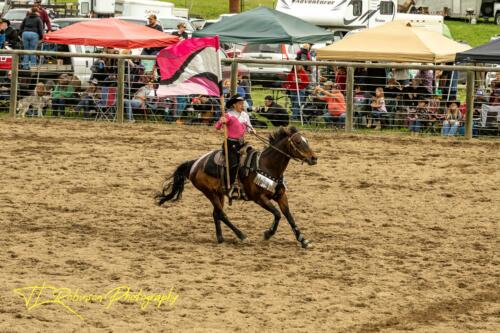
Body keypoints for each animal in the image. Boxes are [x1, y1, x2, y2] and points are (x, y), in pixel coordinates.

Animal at [154, 126, 318, 248]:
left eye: (306, 140)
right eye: (298, 141)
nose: (314, 158)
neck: (267, 165)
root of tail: (194, 163)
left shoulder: (280, 196)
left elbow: (289, 216)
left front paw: (303, 240)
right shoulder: (259, 198)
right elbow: (277, 214)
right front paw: (268, 233)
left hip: (218, 193)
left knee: (216, 214)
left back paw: (220, 238)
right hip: (209, 192)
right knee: (222, 214)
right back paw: (241, 235)